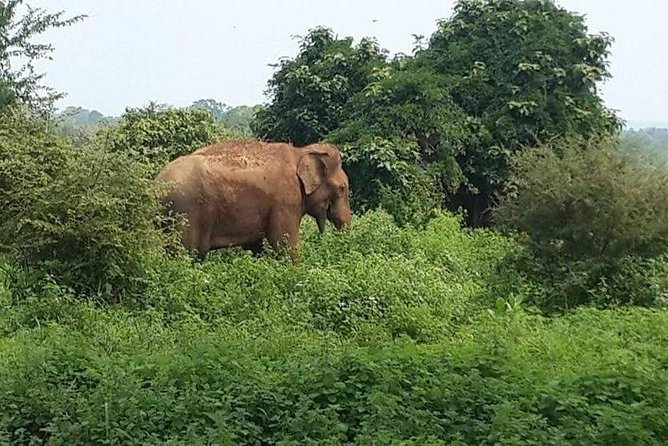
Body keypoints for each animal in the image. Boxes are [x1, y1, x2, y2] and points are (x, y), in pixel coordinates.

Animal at [155, 138, 352, 260]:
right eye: (342, 188)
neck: (301, 151)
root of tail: (157, 184)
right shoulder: (285, 200)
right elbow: (283, 243)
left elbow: (258, 247)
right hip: (186, 214)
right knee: (189, 255)